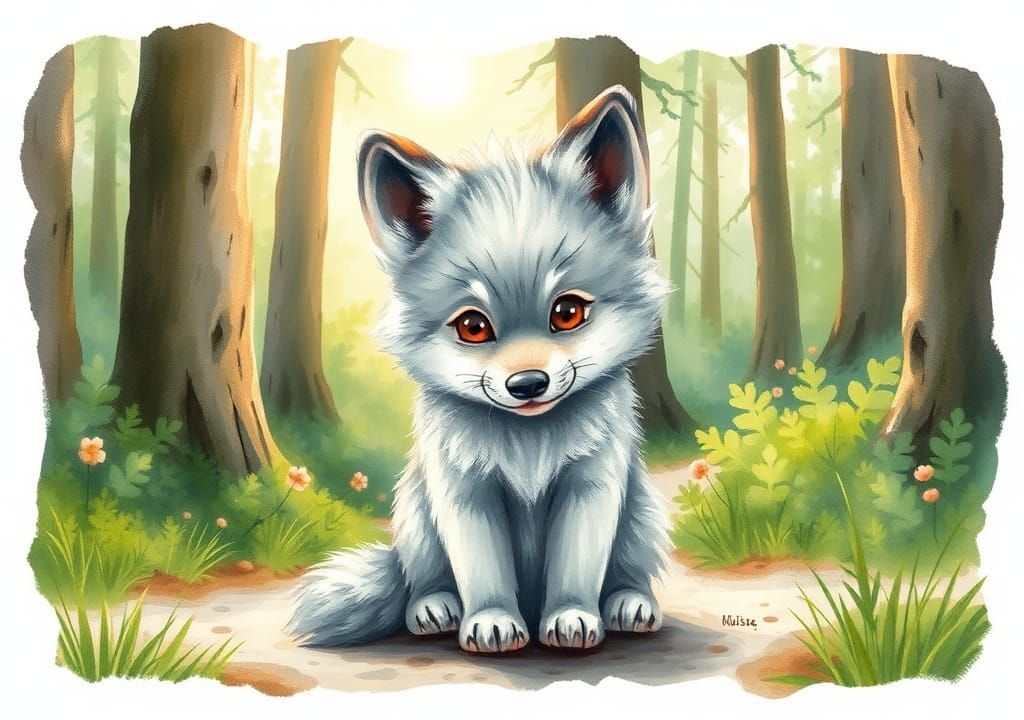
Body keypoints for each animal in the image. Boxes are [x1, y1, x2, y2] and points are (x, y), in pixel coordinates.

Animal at [289, 85, 672, 653]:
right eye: (473, 326)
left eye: (567, 312)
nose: (527, 384)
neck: (529, 445)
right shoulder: (464, 492)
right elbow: (482, 572)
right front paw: (492, 622)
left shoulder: (591, 486)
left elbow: (576, 568)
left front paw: (571, 616)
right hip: (416, 514)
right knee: (421, 579)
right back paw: (433, 608)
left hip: (640, 511)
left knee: (630, 569)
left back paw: (630, 602)